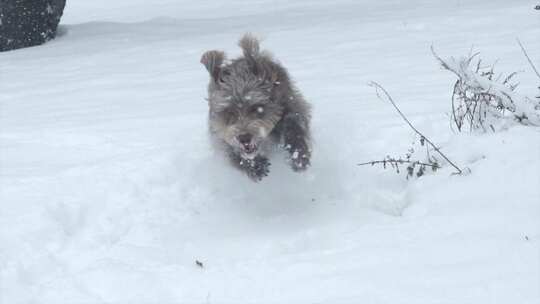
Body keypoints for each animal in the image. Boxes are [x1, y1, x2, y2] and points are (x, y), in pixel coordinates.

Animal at [200, 33, 312, 180]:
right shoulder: (220, 134)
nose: (244, 138)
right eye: (229, 112)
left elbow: (294, 124)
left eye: (256, 108)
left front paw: (298, 155)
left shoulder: (291, 105)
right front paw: (255, 166)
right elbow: (230, 150)